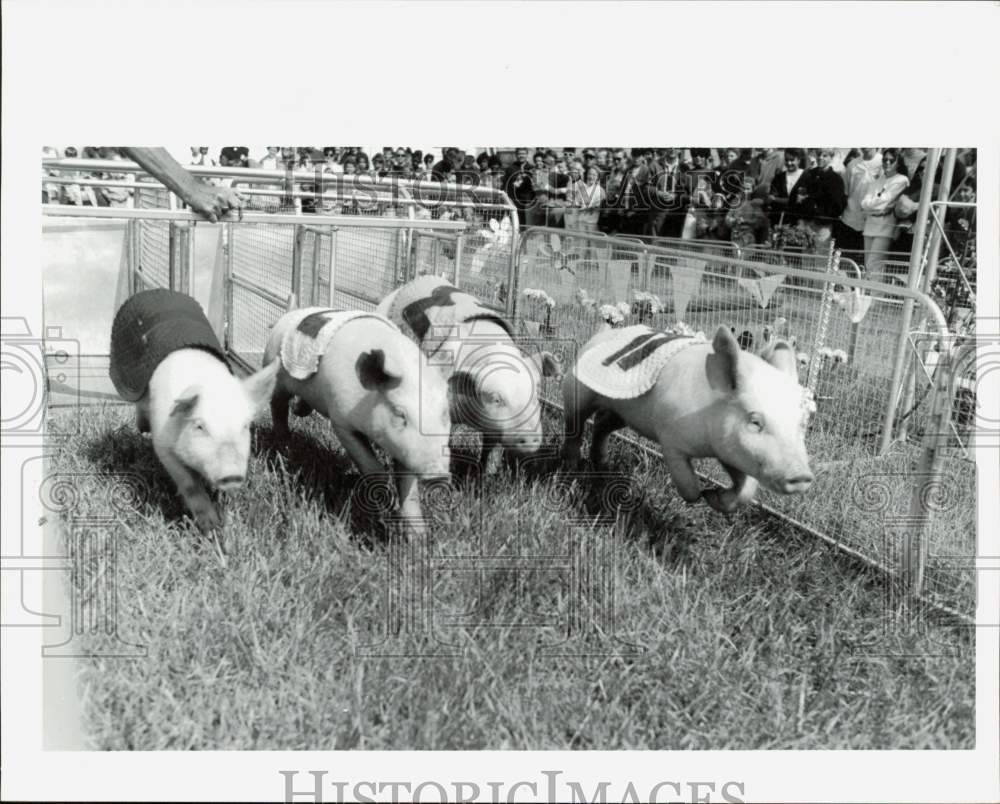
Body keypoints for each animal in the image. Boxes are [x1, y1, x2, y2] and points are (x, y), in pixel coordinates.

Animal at [110, 288, 280, 532]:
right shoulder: (163, 445)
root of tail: (157, 291)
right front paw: (210, 527)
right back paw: (141, 429)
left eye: (245, 426)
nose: (231, 474)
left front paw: (227, 518)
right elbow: (189, 484)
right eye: (199, 426)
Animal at [266, 306, 454, 528]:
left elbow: (409, 490)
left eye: (444, 414)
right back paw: (283, 443)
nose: (438, 475)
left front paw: (417, 535)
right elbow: (372, 468)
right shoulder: (341, 420)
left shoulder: (406, 448)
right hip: (274, 371)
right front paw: (382, 508)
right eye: (400, 414)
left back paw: (297, 412)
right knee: (277, 406)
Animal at [564, 324, 812, 512]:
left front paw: (714, 496)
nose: (802, 475)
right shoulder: (670, 439)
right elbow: (687, 484)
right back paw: (573, 465)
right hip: (576, 392)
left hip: (622, 414)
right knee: (574, 427)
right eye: (755, 422)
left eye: (801, 423)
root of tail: (602, 333)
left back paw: (602, 463)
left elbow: (746, 490)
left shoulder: (730, 450)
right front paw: (702, 494)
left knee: (601, 425)